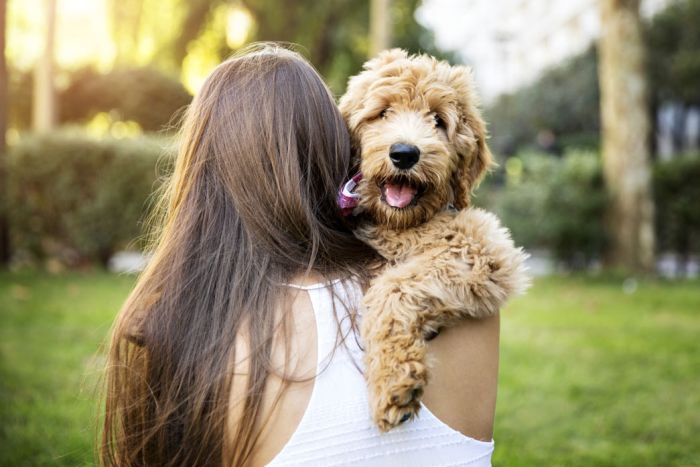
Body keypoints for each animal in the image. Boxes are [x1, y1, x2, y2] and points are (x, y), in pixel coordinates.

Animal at [340, 49, 532, 434]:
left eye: (438, 121)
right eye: (383, 112)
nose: (404, 153)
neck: (400, 223)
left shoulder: (484, 248)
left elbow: (393, 285)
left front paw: (393, 382)